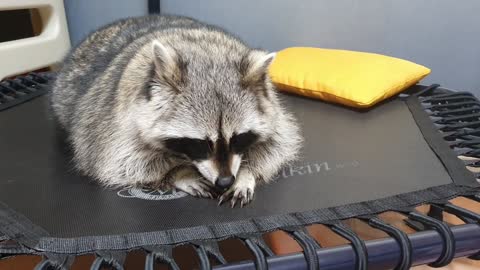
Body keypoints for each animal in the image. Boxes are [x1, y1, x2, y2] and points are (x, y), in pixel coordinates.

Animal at [50, 14, 302, 207]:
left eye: (239, 138)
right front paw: (180, 173)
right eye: (200, 144)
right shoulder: (113, 125)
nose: (225, 181)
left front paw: (246, 173)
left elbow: (277, 147)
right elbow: (122, 164)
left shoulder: (274, 112)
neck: (203, 53)